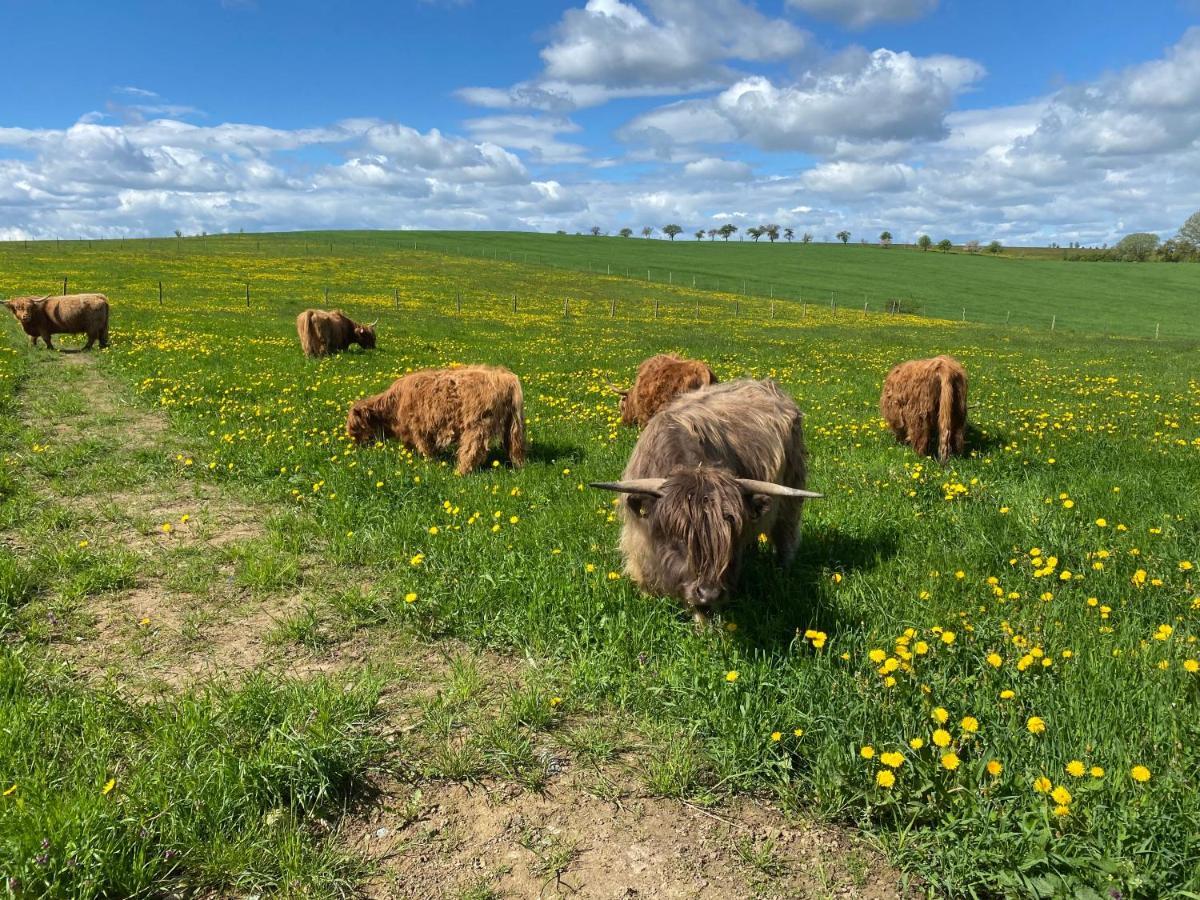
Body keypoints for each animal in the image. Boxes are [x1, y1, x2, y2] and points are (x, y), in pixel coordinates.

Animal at [343, 362, 520, 475]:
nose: (357, 447)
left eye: (355, 428)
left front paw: (431, 463)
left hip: (477, 425)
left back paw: (460, 472)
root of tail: (505, 377)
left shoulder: (418, 428)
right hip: (512, 426)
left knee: (472, 449)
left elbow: (426, 448)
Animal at [592, 379, 820, 619]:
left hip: (791, 492)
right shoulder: (638, 539)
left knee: (786, 534)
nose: (709, 593)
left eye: (726, 536)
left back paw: (783, 573)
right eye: (678, 536)